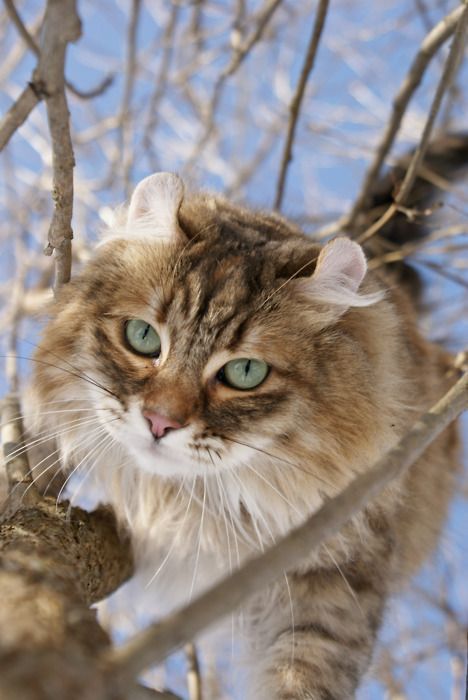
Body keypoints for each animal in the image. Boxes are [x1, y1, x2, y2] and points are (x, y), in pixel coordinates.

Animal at [26, 139, 464, 696]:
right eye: (142, 337)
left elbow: (306, 675)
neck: (194, 504)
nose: (159, 422)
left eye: (245, 371)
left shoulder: (339, 578)